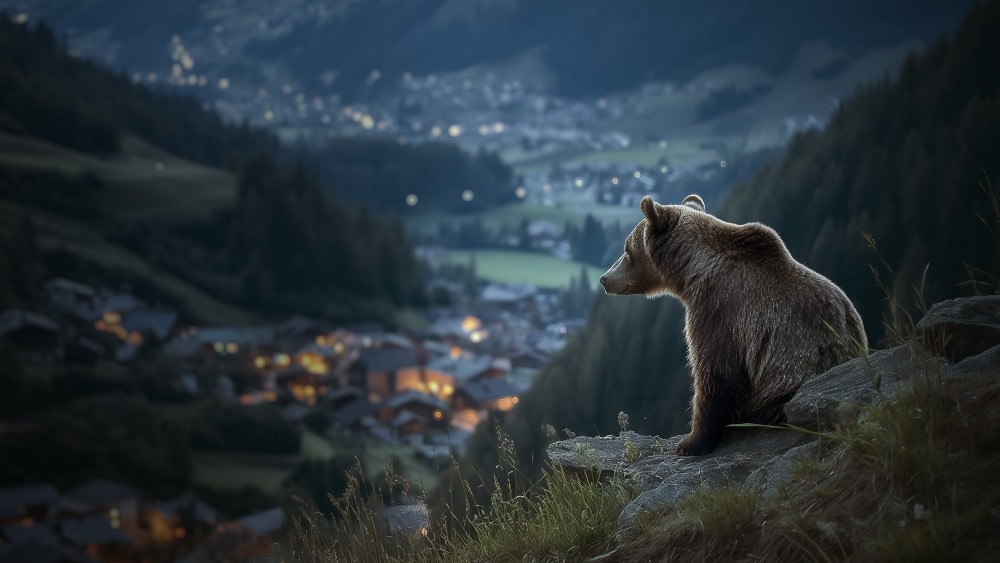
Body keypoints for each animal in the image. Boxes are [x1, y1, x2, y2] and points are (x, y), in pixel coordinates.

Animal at [600, 194, 867, 456]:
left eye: (627, 250)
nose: (604, 279)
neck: (692, 271)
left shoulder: (719, 311)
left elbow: (716, 373)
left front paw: (690, 442)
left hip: (785, 387)